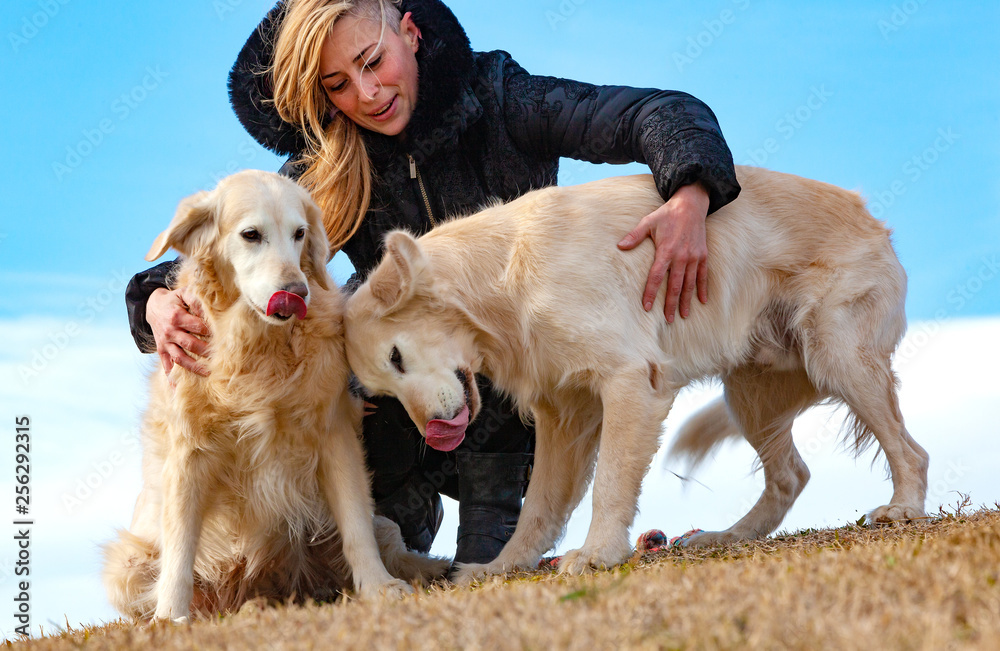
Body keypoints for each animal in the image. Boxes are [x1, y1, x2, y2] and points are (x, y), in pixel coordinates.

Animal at [102, 172, 446, 620]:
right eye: (251, 235)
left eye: (299, 234)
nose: (296, 292)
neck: (258, 344)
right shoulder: (187, 454)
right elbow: (179, 549)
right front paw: (171, 617)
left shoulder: (334, 435)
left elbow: (355, 524)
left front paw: (378, 586)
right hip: (124, 566)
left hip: (378, 525)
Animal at [342, 164, 928, 580]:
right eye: (382, 387)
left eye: (397, 357)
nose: (434, 437)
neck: (501, 275)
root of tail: (872, 217)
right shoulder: (565, 414)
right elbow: (540, 507)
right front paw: (503, 566)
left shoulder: (629, 381)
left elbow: (610, 484)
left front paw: (598, 553)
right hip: (751, 394)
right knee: (791, 475)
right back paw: (728, 537)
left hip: (839, 358)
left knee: (910, 451)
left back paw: (903, 509)